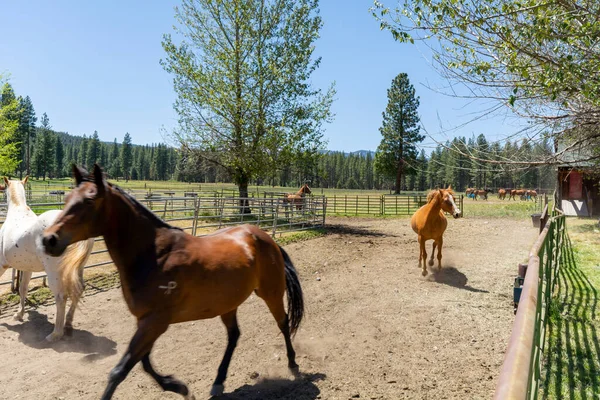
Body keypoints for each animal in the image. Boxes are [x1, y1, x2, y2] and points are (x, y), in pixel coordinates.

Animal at [0, 176, 94, 340]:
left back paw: (55, 334)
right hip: (78, 268)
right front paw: (19, 314)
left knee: (61, 297)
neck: (17, 211)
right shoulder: (27, 268)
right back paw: (68, 324)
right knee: (79, 289)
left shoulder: (2, 264)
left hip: (54, 273)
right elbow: (23, 289)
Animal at [42, 164, 304, 398]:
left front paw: (178, 387)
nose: (48, 239)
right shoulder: (145, 321)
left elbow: (120, 371)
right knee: (234, 336)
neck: (153, 255)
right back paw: (218, 382)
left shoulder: (155, 322)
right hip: (228, 304)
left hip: (270, 292)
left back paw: (293, 364)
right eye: (67, 197)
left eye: (89, 201)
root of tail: (265, 238)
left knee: (283, 322)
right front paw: (178, 387)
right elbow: (145, 363)